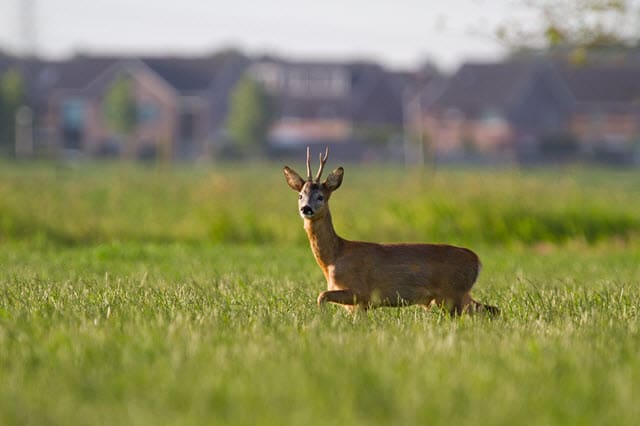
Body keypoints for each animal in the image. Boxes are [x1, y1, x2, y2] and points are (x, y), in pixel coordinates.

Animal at [284, 148, 500, 314]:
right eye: (300, 195)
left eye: (320, 196)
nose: (306, 209)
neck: (333, 257)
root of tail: (477, 261)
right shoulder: (360, 305)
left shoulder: (359, 291)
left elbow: (321, 295)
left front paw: (322, 318)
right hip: (453, 296)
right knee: (492, 310)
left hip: (452, 293)